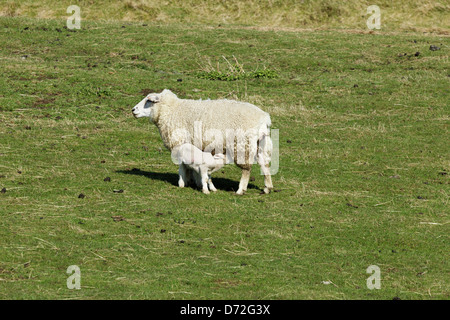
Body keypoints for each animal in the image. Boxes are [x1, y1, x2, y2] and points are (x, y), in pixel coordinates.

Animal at [132, 90, 272, 195]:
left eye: (148, 101)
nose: (133, 110)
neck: (172, 111)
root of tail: (264, 118)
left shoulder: (180, 144)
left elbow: (184, 168)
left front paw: (187, 182)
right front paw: (196, 182)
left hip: (243, 145)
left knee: (246, 169)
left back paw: (240, 190)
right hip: (261, 143)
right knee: (265, 164)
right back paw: (267, 188)